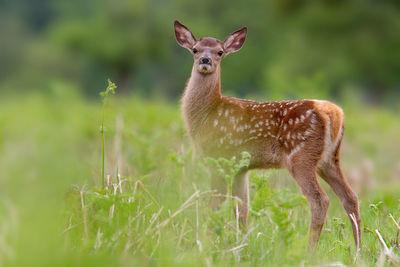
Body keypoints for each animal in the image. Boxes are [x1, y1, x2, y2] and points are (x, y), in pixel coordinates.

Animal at [173, 19, 360, 252]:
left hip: (301, 156)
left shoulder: (219, 158)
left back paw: (309, 252)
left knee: (320, 200)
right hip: (329, 159)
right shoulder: (240, 167)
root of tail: (332, 112)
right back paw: (358, 252)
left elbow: (215, 204)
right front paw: (241, 244)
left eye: (220, 52)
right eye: (195, 49)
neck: (207, 114)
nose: (205, 60)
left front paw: (207, 242)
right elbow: (241, 208)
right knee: (350, 197)